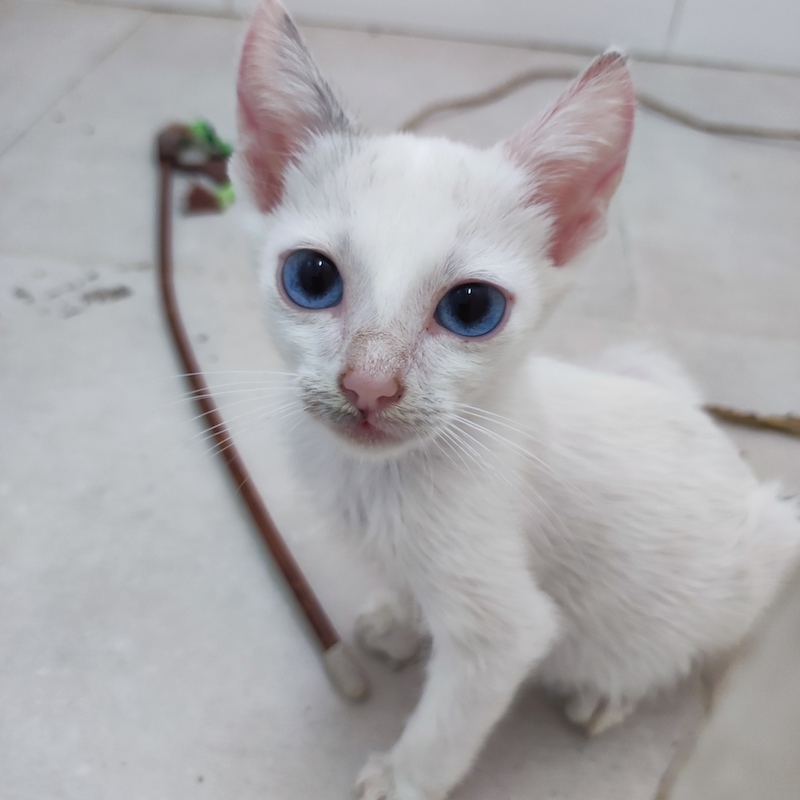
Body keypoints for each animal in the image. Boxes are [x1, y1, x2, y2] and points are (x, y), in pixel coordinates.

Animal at [231, 3, 800, 796]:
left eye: (472, 308)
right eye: (312, 278)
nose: (369, 383)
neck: (376, 484)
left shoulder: (504, 627)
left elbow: (448, 723)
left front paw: (403, 778)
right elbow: (410, 590)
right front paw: (403, 620)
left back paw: (612, 690)